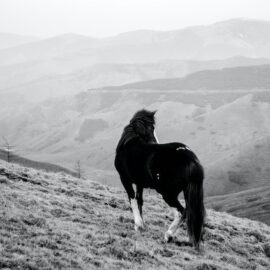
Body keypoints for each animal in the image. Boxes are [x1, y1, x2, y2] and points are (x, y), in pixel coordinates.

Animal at [114, 108, 205, 248]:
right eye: (151, 128)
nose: (154, 142)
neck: (129, 144)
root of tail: (190, 158)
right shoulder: (140, 183)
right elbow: (139, 201)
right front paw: (142, 225)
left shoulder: (125, 179)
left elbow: (132, 200)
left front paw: (138, 225)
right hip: (187, 191)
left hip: (168, 194)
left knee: (182, 212)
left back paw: (168, 235)